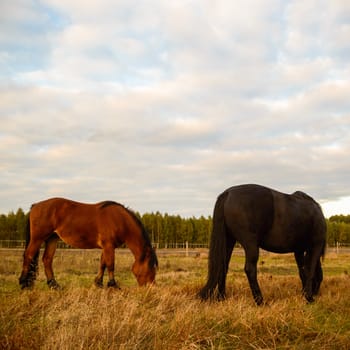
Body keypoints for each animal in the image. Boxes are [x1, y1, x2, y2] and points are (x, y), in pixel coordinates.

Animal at [19, 198, 159, 288]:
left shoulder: (106, 247)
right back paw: (24, 283)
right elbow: (110, 265)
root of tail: (36, 205)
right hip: (38, 238)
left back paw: (54, 285)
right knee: (29, 255)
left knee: (47, 259)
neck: (120, 220)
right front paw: (112, 285)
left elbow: (102, 264)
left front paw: (98, 283)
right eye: (151, 267)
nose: (150, 287)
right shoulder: (109, 246)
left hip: (52, 238)